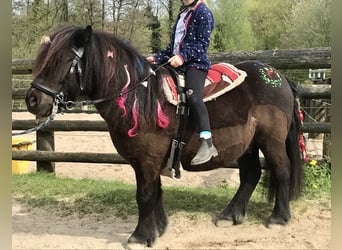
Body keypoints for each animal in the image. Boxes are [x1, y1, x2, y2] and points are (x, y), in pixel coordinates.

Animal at [27, 24, 304, 246]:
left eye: (62, 61)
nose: (32, 100)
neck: (140, 97)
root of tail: (278, 76)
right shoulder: (146, 160)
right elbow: (155, 192)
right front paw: (158, 229)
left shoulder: (148, 159)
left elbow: (145, 194)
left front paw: (140, 236)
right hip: (246, 143)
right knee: (250, 174)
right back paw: (230, 215)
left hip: (271, 141)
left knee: (281, 170)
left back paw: (279, 217)